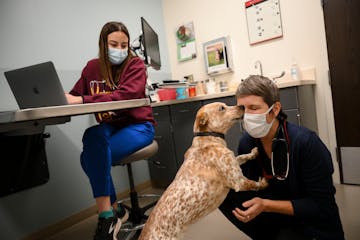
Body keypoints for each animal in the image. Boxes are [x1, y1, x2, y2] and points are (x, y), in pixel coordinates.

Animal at [138, 101, 268, 240]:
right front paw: (264, 182)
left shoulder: (233, 163)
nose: (242, 106)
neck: (209, 138)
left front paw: (253, 153)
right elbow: (254, 184)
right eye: (222, 108)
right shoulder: (238, 181)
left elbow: (242, 157)